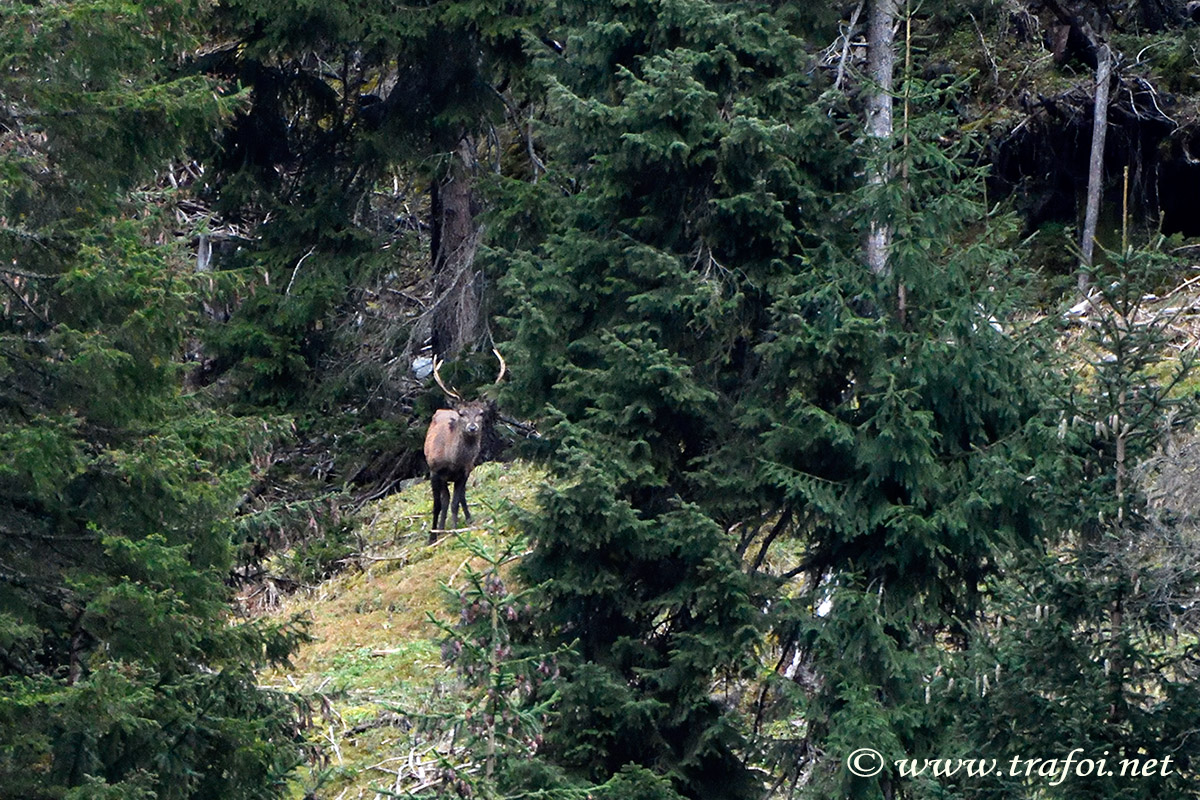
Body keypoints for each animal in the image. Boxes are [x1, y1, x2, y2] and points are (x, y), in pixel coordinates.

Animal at [423, 349, 506, 542]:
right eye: (462, 413)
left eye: (481, 413)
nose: (472, 427)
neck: (452, 460)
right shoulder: (434, 471)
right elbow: (437, 505)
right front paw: (432, 536)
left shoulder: (464, 472)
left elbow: (455, 502)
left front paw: (454, 530)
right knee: (444, 500)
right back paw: (440, 528)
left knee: (458, 498)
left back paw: (465, 520)